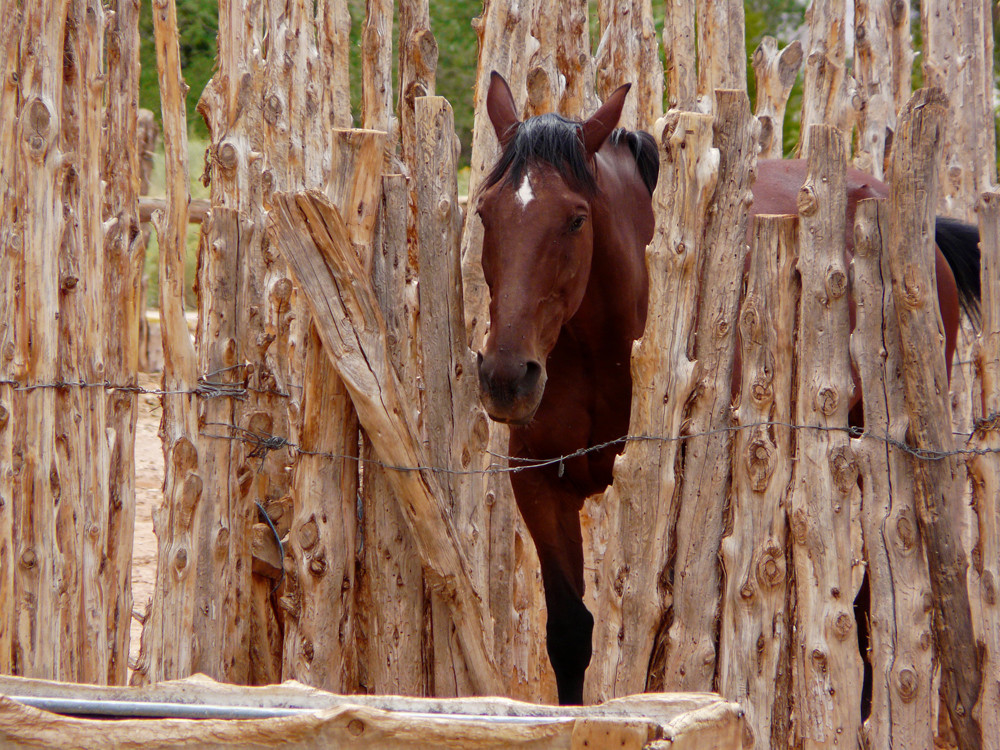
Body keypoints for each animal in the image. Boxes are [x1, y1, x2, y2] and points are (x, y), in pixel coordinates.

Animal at [472, 73, 980, 708]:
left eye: (575, 219)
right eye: (486, 213)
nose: (506, 377)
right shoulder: (539, 484)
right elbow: (569, 632)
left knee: (868, 612)